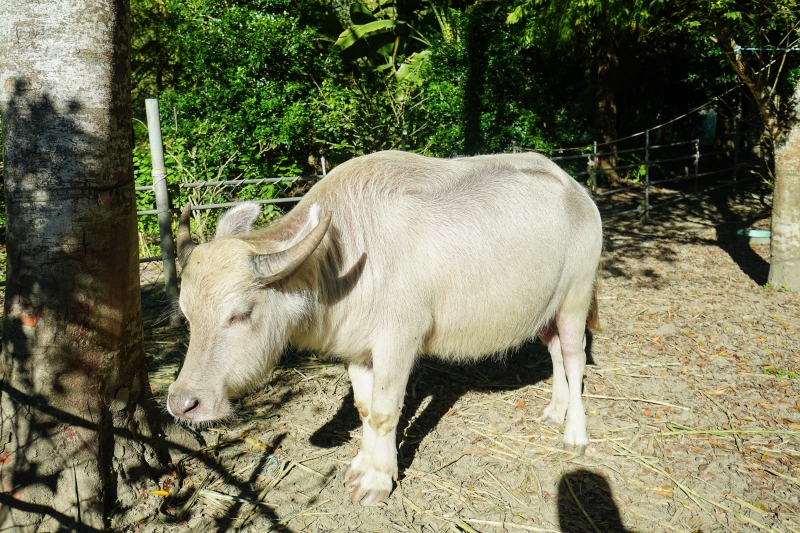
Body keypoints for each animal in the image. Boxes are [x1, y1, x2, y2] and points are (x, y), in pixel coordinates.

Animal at [172, 149, 604, 502]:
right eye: (188, 315)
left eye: (240, 313)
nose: (182, 403)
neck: (341, 260)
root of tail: (577, 191)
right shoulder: (358, 350)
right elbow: (365, 409)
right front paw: (362, 466)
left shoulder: (398, 342)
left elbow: (384, 412)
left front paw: (378, 481)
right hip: (545, 308)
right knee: (554, 351)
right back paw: (556, 410)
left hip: (576, 296)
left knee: (574, 354)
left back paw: (575, 433)